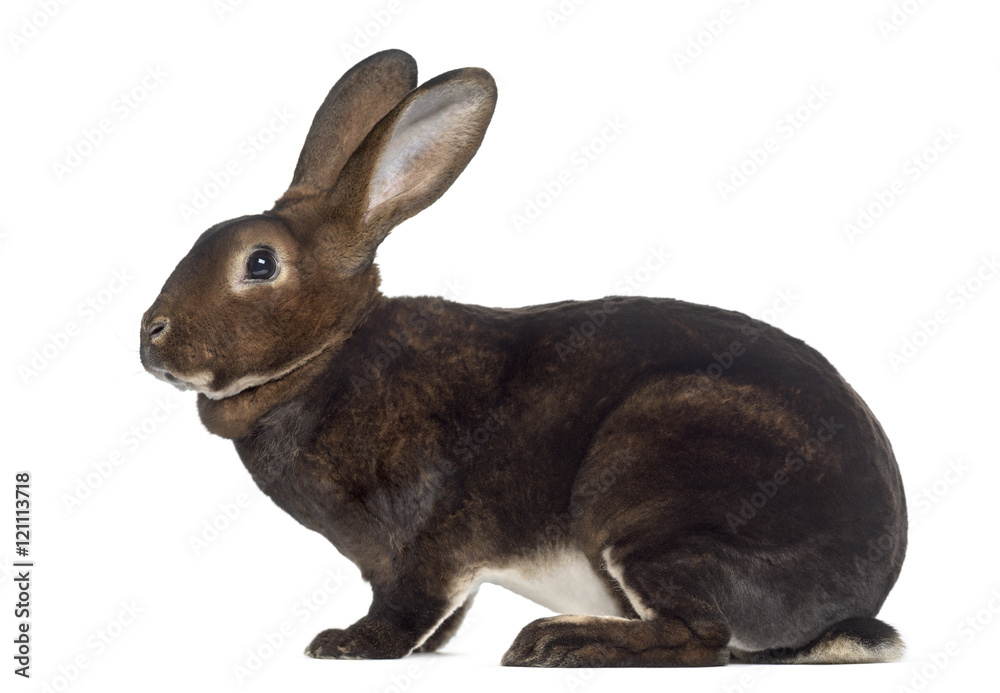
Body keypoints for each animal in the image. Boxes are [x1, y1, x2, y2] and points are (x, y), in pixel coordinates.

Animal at [139, 49, 906, 667]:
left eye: (259, 263)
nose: (152, 334)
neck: (328, 354)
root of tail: (852, 602)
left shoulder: (424, 541)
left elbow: (409, 603)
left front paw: (348, 645)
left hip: (654, 500)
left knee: (700, 637)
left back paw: (560, 642)